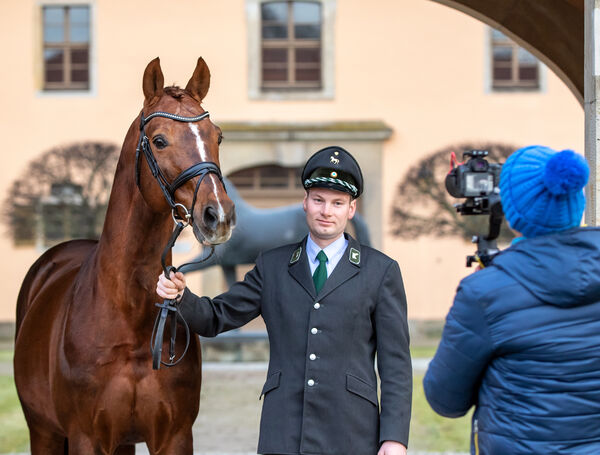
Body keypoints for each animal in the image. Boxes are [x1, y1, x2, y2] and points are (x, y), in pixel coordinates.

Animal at [12, 58, 236, 454]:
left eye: (217, 136)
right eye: (159, 141)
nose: (218, 216)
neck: (127, 314)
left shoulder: (175, 436)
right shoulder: (86, 437)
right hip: (44, 432)